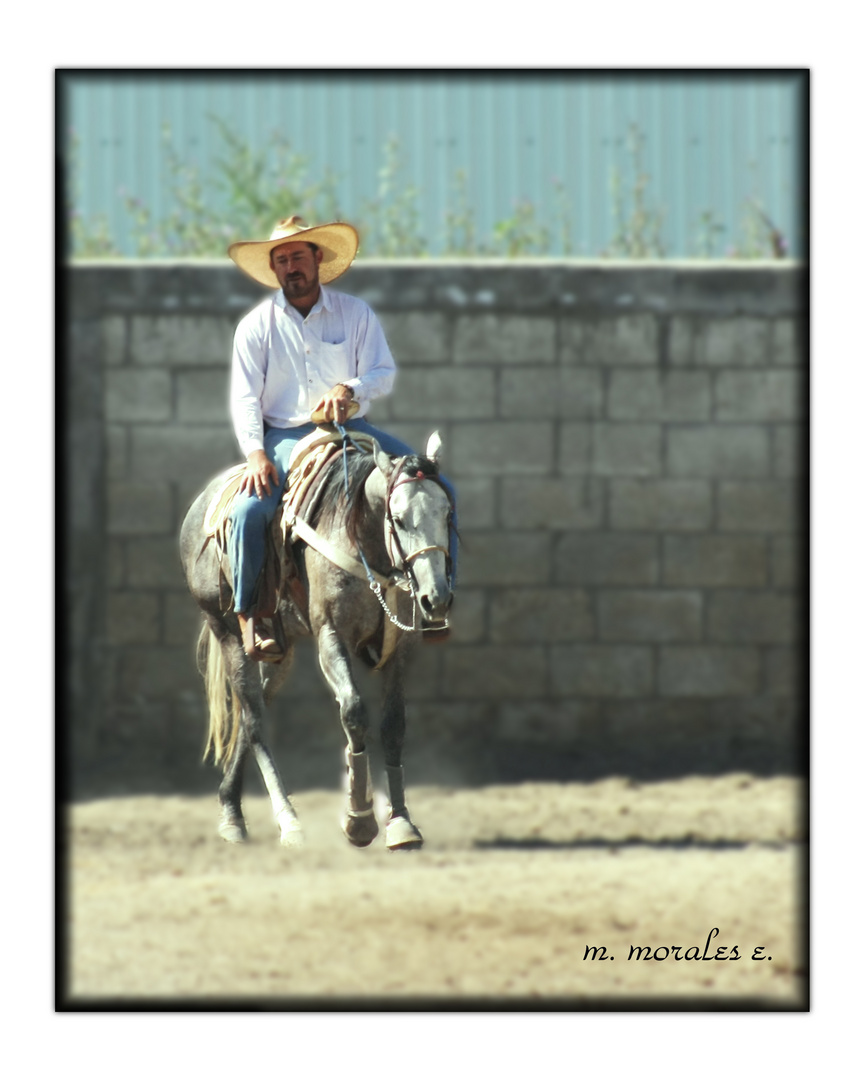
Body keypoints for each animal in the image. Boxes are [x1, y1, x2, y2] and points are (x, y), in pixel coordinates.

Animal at [179, 432, 455, 851]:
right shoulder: (330, 636)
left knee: (251, 711)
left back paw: (231, 807)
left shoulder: (400, 649)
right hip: (226, 631)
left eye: (446, 514)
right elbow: (354, 712)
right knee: (254, 721)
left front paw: (401, 822)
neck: (365, 541)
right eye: (399, 519)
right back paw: (285, 821)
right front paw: (359, 820)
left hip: (280, 649)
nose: (436, 598)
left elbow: (394, 724)